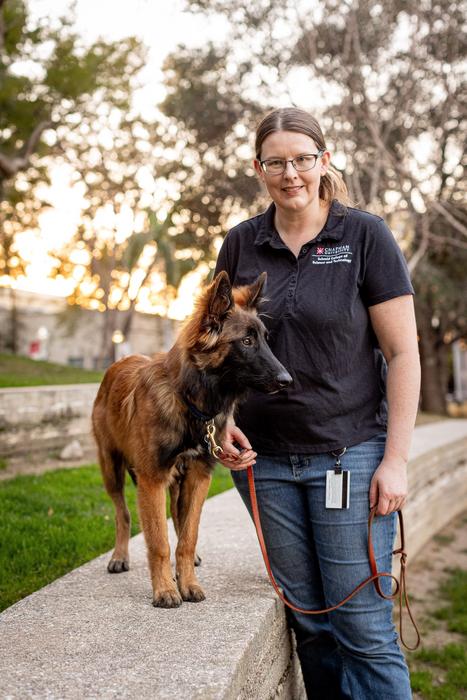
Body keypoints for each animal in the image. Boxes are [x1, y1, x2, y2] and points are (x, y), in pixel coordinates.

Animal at [91, 270, 292, 608]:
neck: (191, 402)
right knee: (123, 513)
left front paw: (187, 582)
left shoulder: (199, 475)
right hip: (111, 469)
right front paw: (165, 590)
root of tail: (118, 362)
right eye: (246, 341)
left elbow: (188, 536)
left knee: (177, 516)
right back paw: (120, 556)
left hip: (177, 481)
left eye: (265, 338)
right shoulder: (152, 479)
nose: (287, 380)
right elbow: (158, 541)